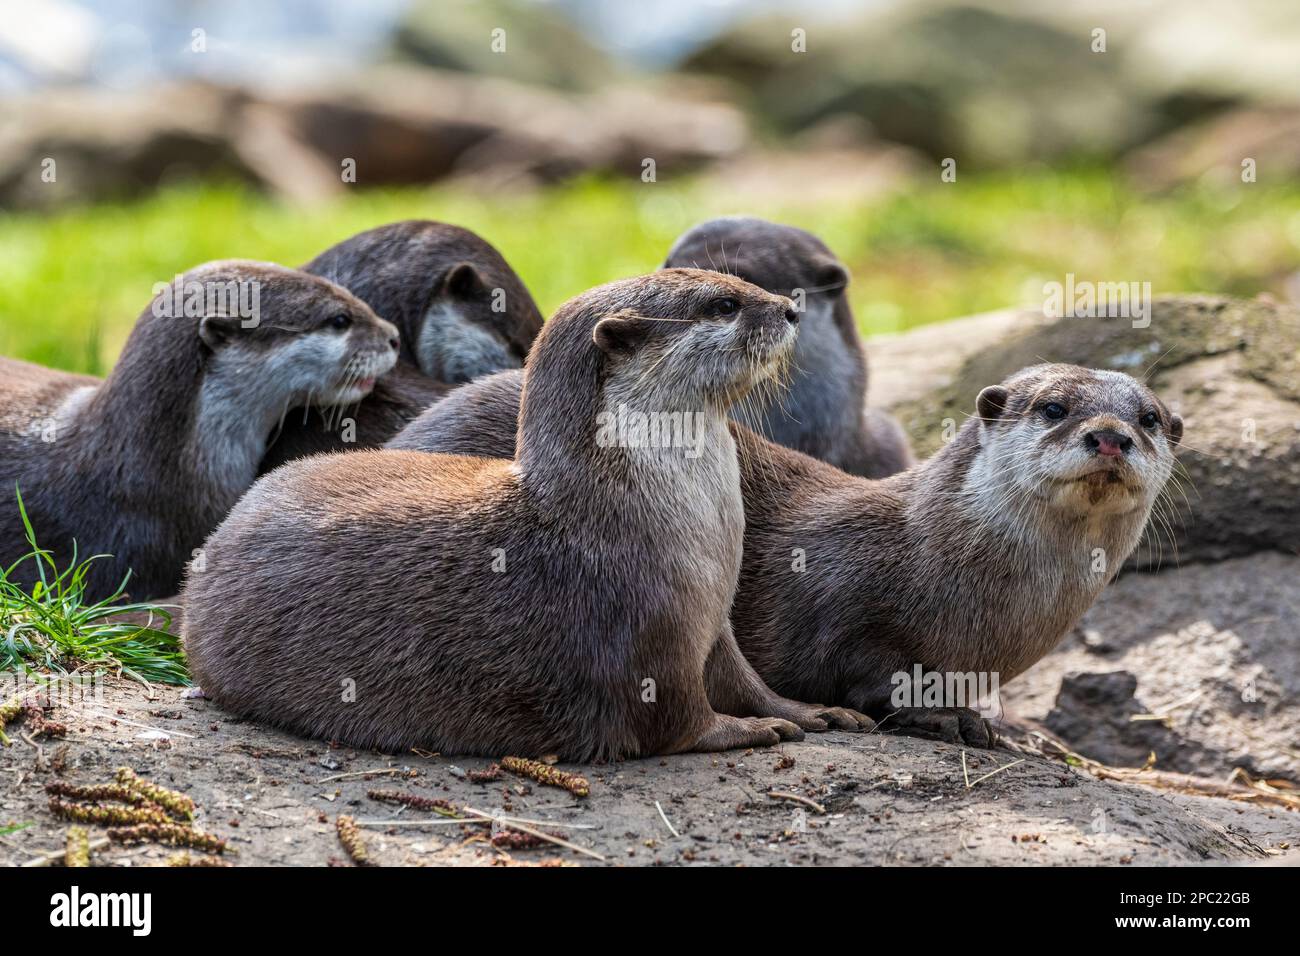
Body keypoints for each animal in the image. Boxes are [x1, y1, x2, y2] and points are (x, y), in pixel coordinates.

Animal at [183, 265, 873, 759]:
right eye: (723, 305)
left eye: (738, 283)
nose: (789, 309)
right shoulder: (651, 633)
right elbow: (678, 717)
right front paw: (740, 731)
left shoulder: (712, 615)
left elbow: (747, 680)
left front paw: (811, 712)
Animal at [382, 361, 1180, 743]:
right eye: (1053, 408)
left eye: (1150, 418)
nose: (1110, 436)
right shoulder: (841, 590)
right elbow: (863, 667)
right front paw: (945, 719)